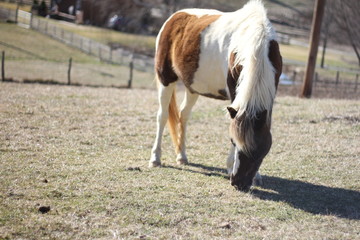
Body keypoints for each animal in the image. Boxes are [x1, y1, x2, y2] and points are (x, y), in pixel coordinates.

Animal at [148, 0, 282, 191]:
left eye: (262, 152)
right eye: (234, 142)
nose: (239, 183)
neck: (256, 42)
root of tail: (174, 17)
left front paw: (257, 176)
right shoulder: (235, 92)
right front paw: (230, 166)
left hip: (192, 88)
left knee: (183, 115)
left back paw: (182, 156)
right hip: (165, 78)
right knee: (163, 116)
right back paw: (155, 158)